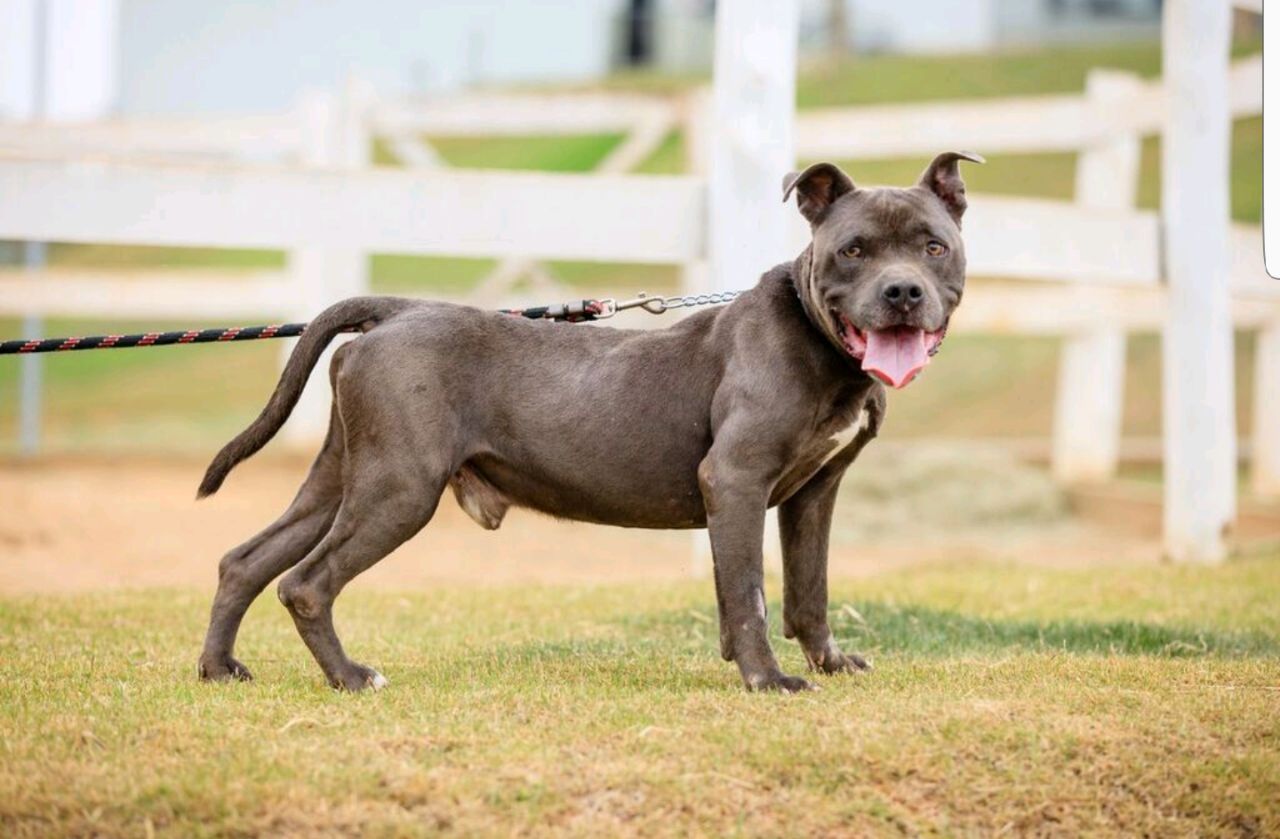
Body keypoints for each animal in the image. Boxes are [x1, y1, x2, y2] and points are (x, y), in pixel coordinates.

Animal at [197, 154, 977, 691]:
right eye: (853, 250)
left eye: (933, 246)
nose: (902, 293)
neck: (820, 342)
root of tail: (395, 311)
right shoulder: (737, 480)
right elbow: (750, 592)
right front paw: (768, 680)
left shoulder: (814, 492)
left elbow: (807, 590)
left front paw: (829, 662)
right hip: (399, 489)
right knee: (305, 582)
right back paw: (352, 677)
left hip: (343, 478)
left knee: (246, 560)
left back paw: (219, 668)